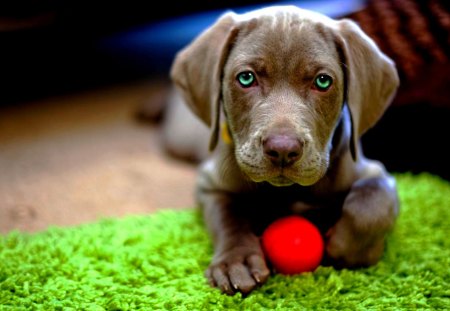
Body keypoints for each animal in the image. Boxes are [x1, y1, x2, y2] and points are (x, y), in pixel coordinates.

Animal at [163, 6, 400, 296]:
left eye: (323, 81)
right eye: (246, 78)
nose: (283, 149)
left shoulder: (374, 172)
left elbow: (371, 205)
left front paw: (349, 248)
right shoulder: (211, 183)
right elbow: (227, 215)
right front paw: (235, 262)